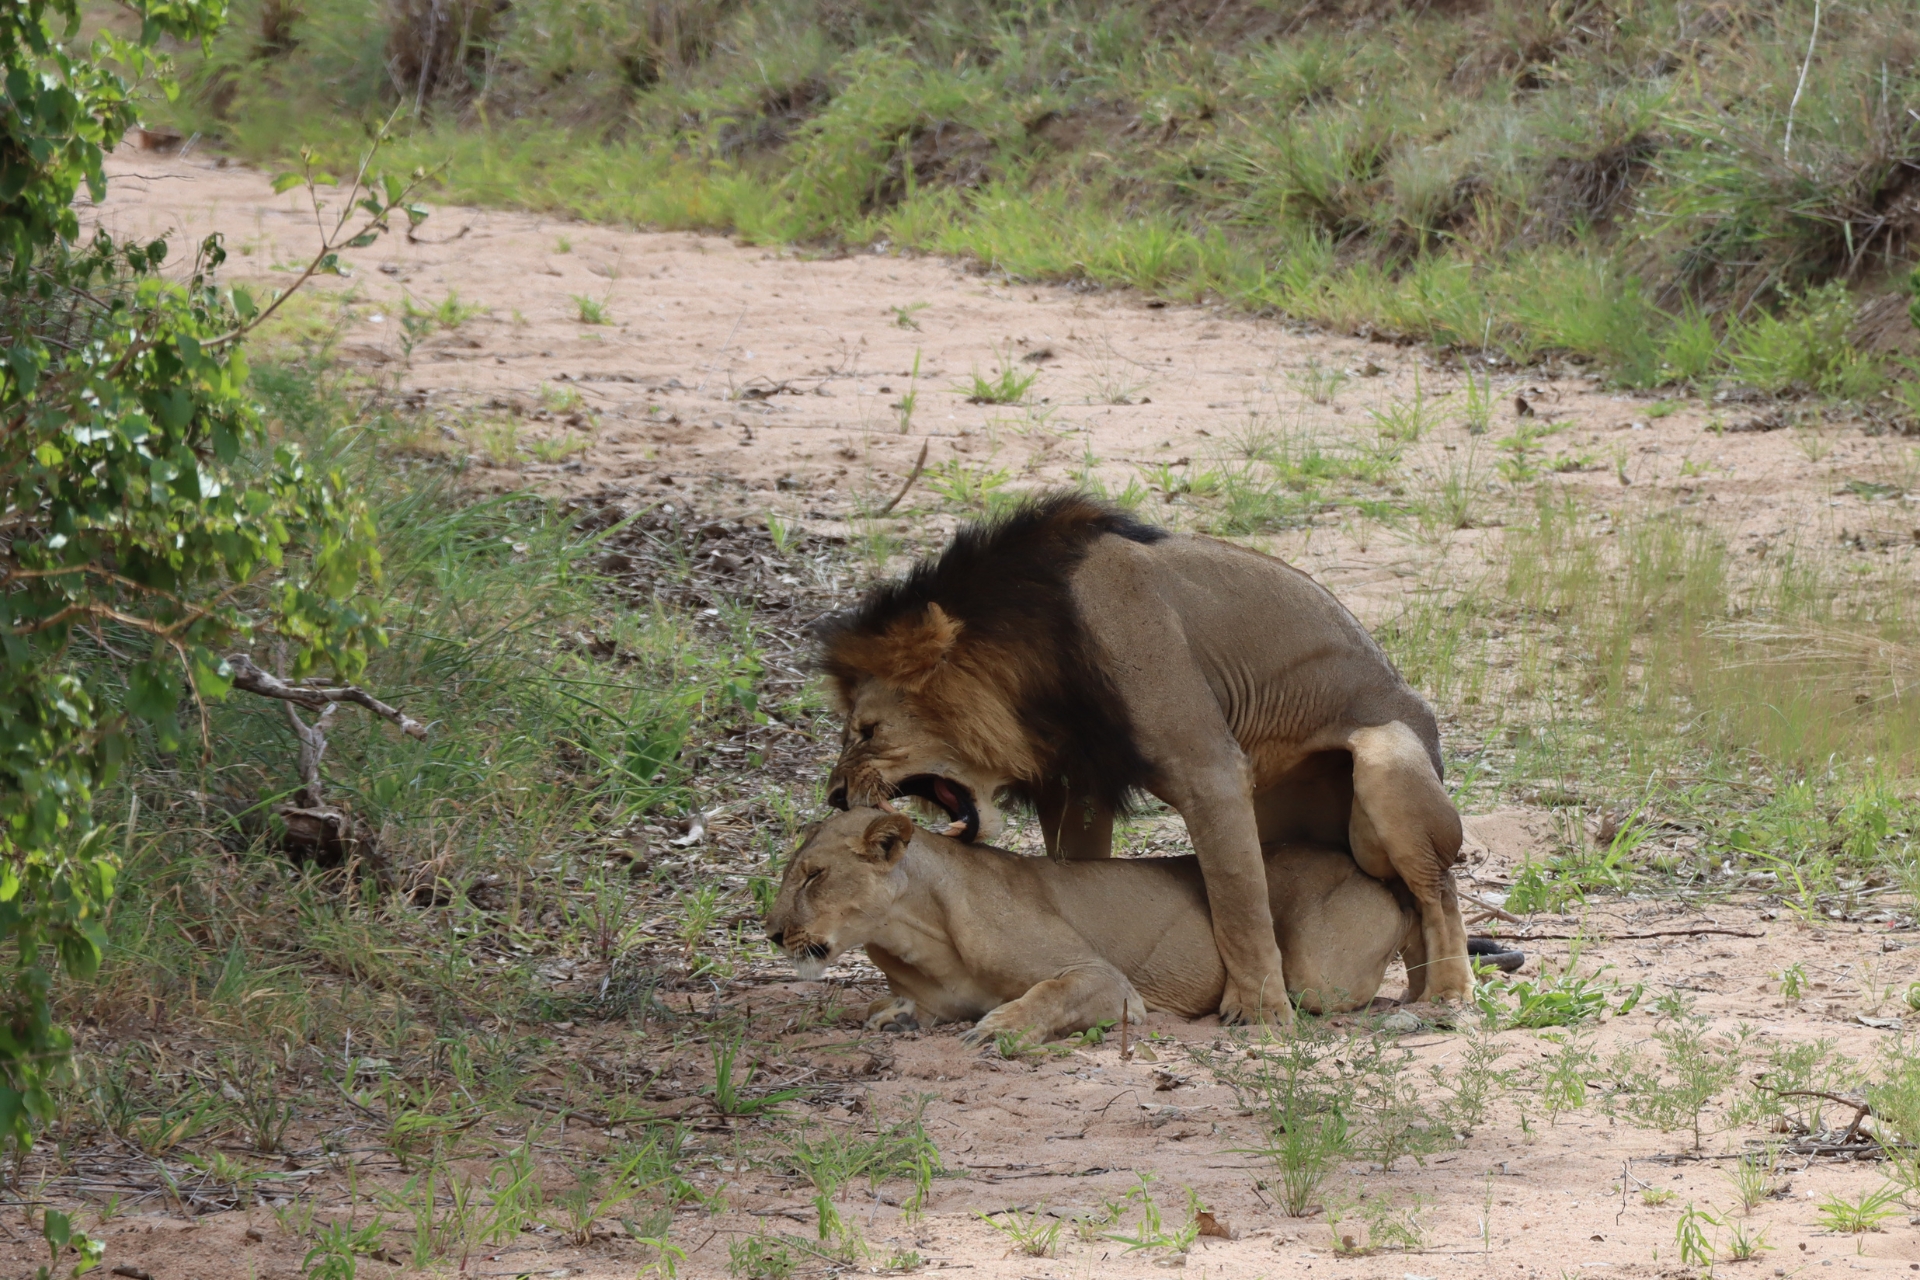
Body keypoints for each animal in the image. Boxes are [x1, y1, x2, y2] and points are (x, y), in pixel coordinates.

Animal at [764, 809, 1471, 1045]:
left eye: (813, 876)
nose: (770, 934)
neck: (911, 937)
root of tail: (1372, 874)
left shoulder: (1107, 981)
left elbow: (1052, 993)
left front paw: (1000, 1027)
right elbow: (900, 1008)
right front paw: (893, 1017)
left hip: (1314, 975)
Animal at [815, 492, 1473, 1025]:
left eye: (868, 730)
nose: (835, 796)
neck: (1033, 663)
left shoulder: (1210, 770)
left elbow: (1240, 903)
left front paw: (1258, 1010)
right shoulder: (1076, 784)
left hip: (1386, 761)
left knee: (1437, 889)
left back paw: (1448, 996)